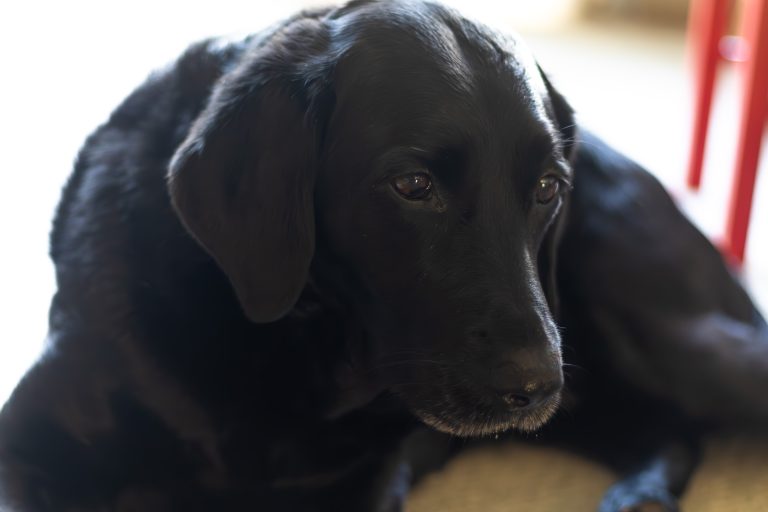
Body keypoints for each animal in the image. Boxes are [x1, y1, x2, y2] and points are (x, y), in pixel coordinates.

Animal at [1, 2, 768, 510]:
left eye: (549, 187)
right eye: (413, 185)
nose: (535, 385)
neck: (289, 349)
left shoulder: (364, 483)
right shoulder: (28, 445)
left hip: (666, 342)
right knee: (666, 430)